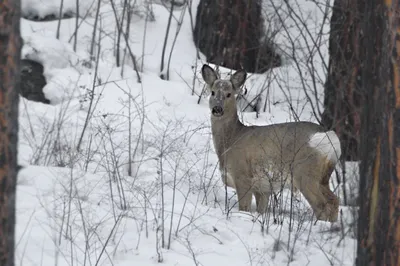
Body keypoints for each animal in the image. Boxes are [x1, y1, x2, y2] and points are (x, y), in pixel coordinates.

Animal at [202, 64, 342, 222]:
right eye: (213, 92)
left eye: (229, 94)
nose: (217, 109)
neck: (231, 140)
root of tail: (328, 136)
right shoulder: (263, 188)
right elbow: (261, 210)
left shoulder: (243, 175)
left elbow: (244, 207)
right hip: (323, 175)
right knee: (334, 200)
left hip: (305, 172)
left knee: (322, 204)